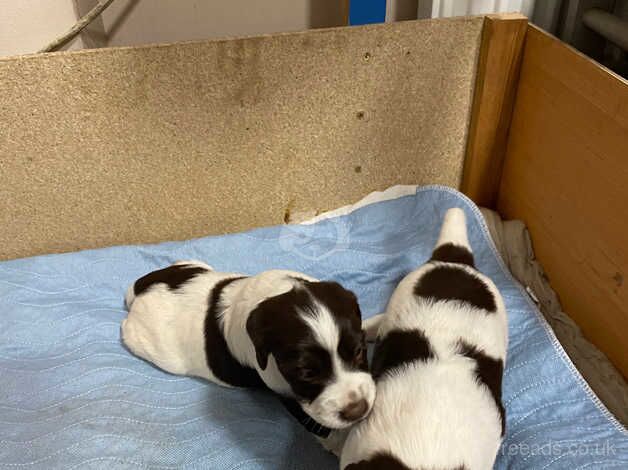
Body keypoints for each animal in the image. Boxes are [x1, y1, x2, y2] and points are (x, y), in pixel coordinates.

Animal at [121, 262, 376, 436]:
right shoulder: (283, 390)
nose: (357, 410)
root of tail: (144, 287)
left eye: (359, 351)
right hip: (151, 345)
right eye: (306, 373)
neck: (278, 292)